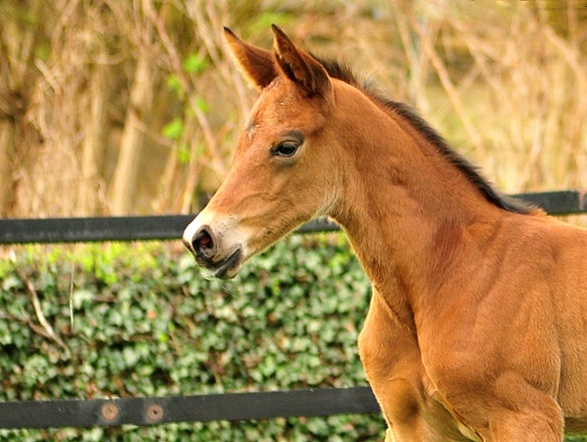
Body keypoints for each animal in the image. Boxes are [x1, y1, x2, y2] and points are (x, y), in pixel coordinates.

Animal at [185, 25, 587, 440]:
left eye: (286, 146)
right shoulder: (410, 424)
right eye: (240, 141)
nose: (201, 238)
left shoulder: (527, 418)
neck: (449, 270)